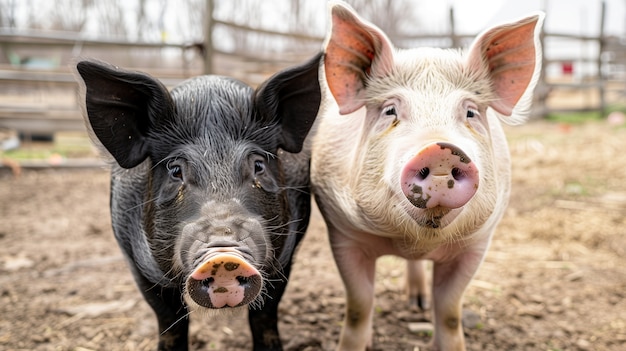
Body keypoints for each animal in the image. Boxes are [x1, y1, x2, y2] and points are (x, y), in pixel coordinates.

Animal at [74, 53, 322, 351]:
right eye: (175, 170)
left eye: (259, 166)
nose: (224, 256)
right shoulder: (136, 262)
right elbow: (170, 321)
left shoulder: (285, 258)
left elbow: (264, 316)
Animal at [310, 2, 540, 351]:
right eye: (390, 110)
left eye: (470, 112)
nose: (439, 150)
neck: (413, 241)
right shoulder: (343, 233)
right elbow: (359, 305)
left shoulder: (476, 243)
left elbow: (449, 310)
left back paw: (418, 303)